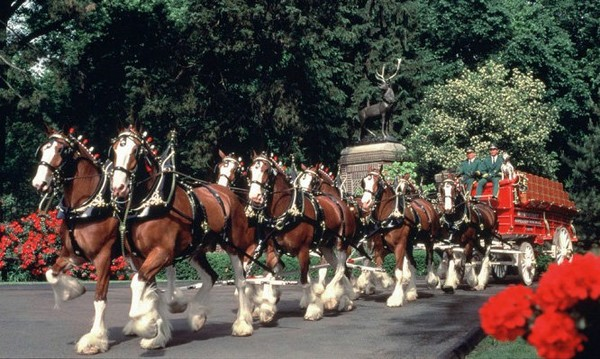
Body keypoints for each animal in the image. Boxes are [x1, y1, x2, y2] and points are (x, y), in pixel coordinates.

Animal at [31, 129, 119, 354]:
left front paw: (95, 339)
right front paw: (73, 291)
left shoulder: (104, 257)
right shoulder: (71, 254)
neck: (84, 206)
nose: (39, 183)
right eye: (43, 149)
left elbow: (100, 298)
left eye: (62, 151)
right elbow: (50, 274)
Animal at [109, 126, 254, 348]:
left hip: (233, 246)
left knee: (240, 281)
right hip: (196, 250)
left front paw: (144, 323)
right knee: (211, 276)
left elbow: (138, 285)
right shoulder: (140, 257)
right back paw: (197, 315)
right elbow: (151, 291)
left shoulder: (161, 253)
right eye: (115, 150)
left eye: (135, 152)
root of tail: (225, 192)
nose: (118, 188)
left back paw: (242, 324)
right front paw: (157, 334)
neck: (151, 203)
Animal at [246, 153, 354, 322]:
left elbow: (304, 281)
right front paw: (266, 308)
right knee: (340, 268)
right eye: (250, 171)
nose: (254, 197)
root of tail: (339, 202)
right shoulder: (273, 251)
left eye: (266, 171)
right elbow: (267, 277)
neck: (286, 211)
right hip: (326, 247)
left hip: (341, 243)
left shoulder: (303, 251)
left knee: (341, 268)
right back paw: (346, 299)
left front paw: (313, 308)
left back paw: (330, 296)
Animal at [360, 169, 440, 306]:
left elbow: (398, 272)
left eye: (378, 183)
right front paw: (386, 282)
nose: (365, 203)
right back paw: (411, 292)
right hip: (408, 246)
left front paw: (396, 298)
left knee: (429, 258)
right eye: (364, 182)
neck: (387, 220)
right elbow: (378, 269)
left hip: (429, 240)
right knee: (413, 264)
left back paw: (431, 280)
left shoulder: (399, 247)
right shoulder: (380, 249)